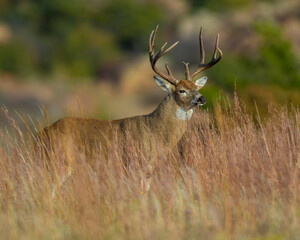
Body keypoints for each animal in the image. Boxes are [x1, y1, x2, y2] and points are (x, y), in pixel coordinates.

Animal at [37, 26, 221, 190]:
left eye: (196, 88)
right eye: (181, 90)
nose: (202, 98)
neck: (154, 130)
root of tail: (42, 133)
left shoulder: (148, 170)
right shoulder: (135, 164)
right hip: (60, 162)